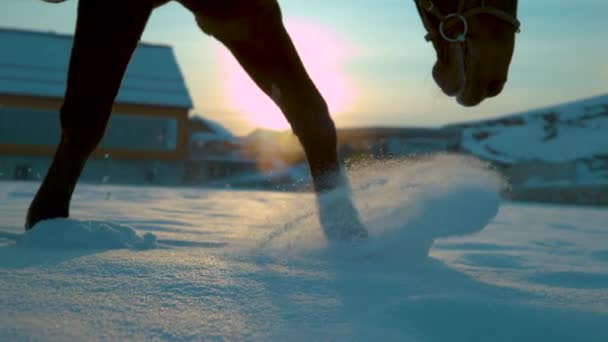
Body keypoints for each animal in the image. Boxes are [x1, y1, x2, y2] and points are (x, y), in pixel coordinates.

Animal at [28, 0, 520, 240]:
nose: (494, 75)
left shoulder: (240, 12)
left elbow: (310, 112)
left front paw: (349, 237)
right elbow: (87, 115)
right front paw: (47, 225)